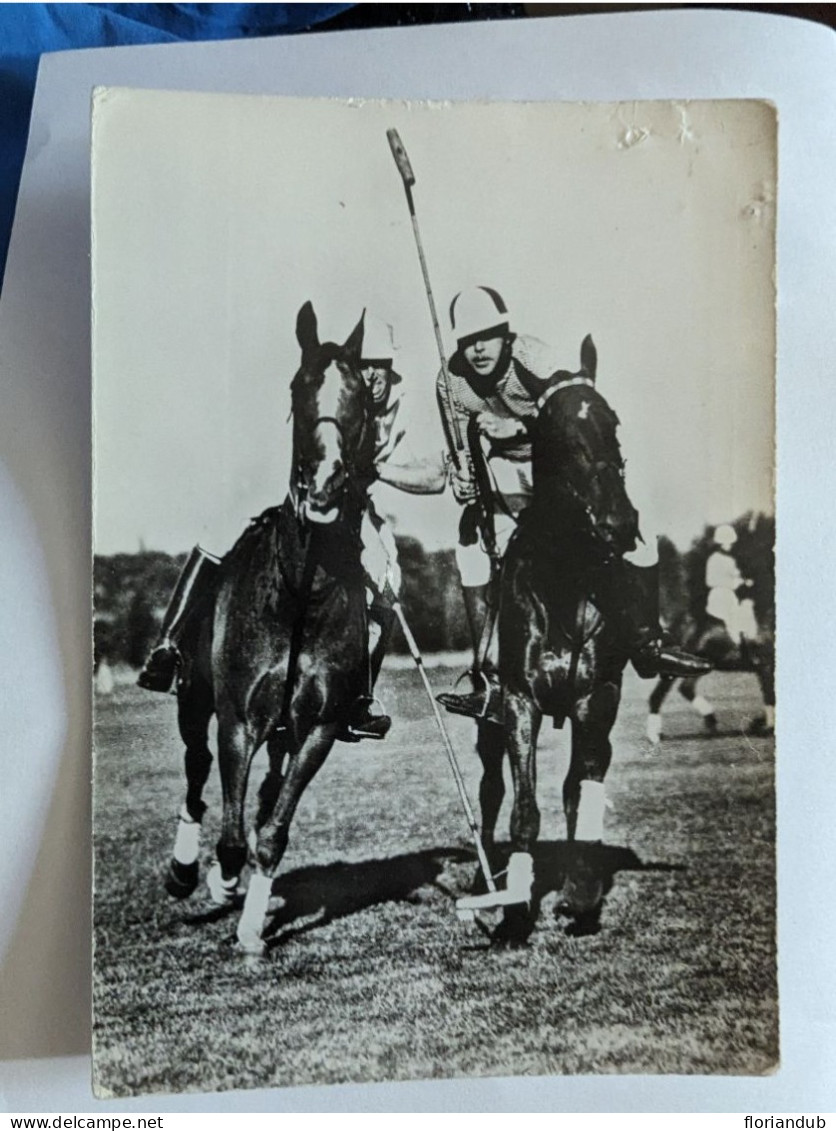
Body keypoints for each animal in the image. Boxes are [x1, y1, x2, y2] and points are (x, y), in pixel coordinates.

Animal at [164, 303, 373, 954]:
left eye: (363, 394)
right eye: (299, 387)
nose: (325, 487)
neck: (300, 593)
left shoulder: (319, 729)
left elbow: (273, 829)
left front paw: (254, 927)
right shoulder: (237, 717)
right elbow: (231, 832)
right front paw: (220, 880)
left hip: (284, 731)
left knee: (261, 797)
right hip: (194, 697)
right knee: (196, 766)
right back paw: (185, 870)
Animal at [468, 334, 638, 936]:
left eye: (614, 422)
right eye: (554, 434)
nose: (619, 524)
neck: (562, 579)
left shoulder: (596, 696)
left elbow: (578, 793)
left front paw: (580, 893)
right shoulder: (519, 700)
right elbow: (523, 807)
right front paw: (514, 907)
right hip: (489, 716)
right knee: (490, 788)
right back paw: (487, 881)